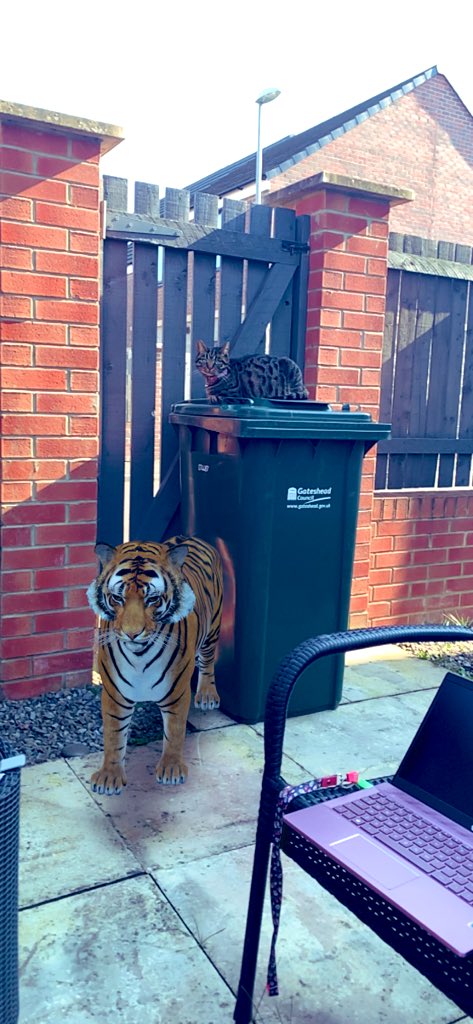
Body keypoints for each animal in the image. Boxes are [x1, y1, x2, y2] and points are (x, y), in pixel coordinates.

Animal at [86, 536, 223, 795]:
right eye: (117, 598)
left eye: (153, 599)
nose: (131, 634)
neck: (139, 655)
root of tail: (193, 537)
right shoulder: (114, 694)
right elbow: (113, 735)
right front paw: (109, 776)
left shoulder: (178, 692)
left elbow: (175, 731)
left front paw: (171, 769)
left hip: (213, 629)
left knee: (208, 661)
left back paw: (207, 695)